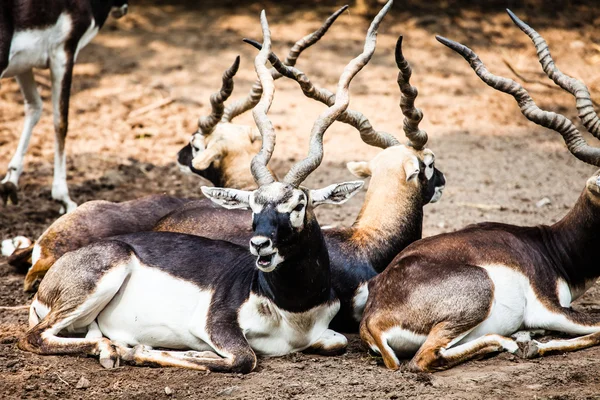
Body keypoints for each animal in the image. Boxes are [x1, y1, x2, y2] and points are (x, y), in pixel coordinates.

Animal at [0, 0, 127, 214]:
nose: (123, 9)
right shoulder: (63, 53)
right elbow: (61, 122)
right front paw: (64, 199)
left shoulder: (23, 64)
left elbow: (35, 106)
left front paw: (10, 182)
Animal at [360, 10, 600, 374]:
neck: (551, 247)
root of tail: (372, 319)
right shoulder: (550, 308)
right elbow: (597, 330)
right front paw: (533, 345)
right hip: (478, 290)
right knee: (423, 359)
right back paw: (514, 343)